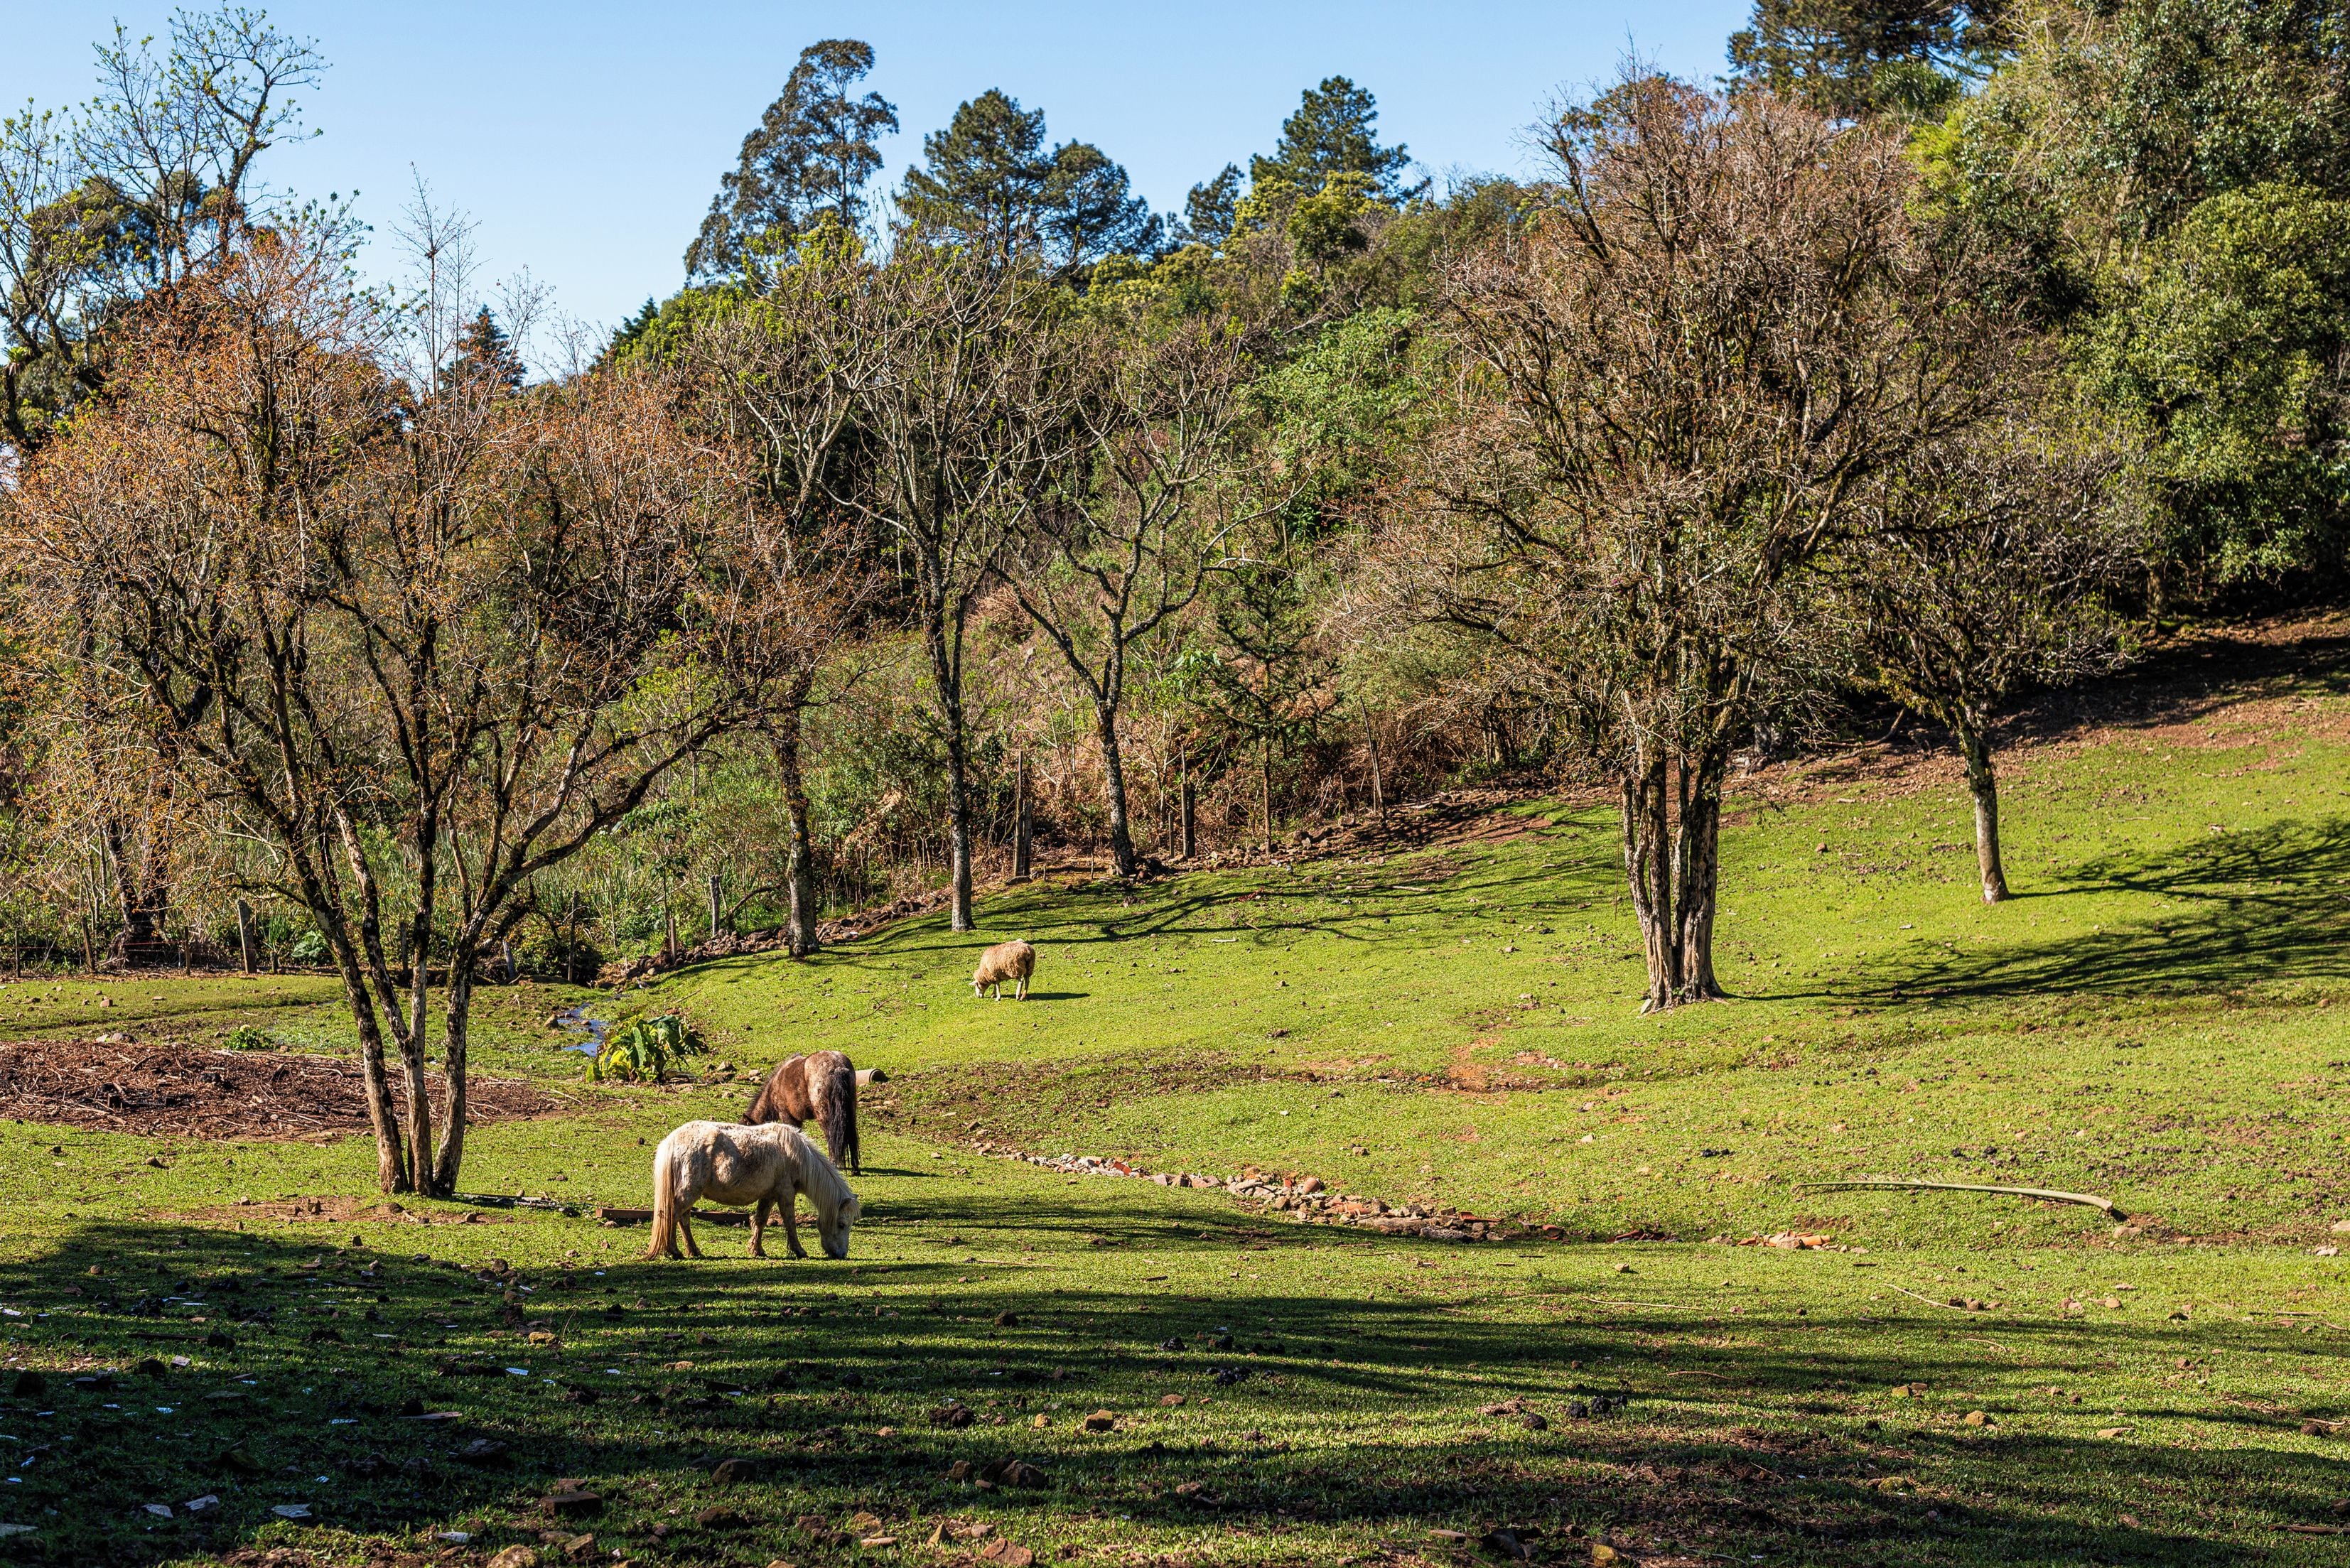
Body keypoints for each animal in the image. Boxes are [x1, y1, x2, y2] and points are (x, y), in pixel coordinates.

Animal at [645, 1120, 859, 1261]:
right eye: (841, 1225)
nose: (841, 1255)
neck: (794, 1154)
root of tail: (672, 1141)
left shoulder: (769, 1195)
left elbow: (761, 1220)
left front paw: (757, 1250)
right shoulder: (786, 1193)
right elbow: (790, 1222)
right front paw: (799, 1251)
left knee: (683, 1220)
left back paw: (693, 1251)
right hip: (689, 1192)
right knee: (672, 1216)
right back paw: (673, 1251)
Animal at [743, 1049, 860, 1174]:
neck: (774, 1087)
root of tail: (838, 1067)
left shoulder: (787, 1116)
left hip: (824, 1115)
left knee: (830, 1136)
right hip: (850, 1113)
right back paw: (855, 1169)